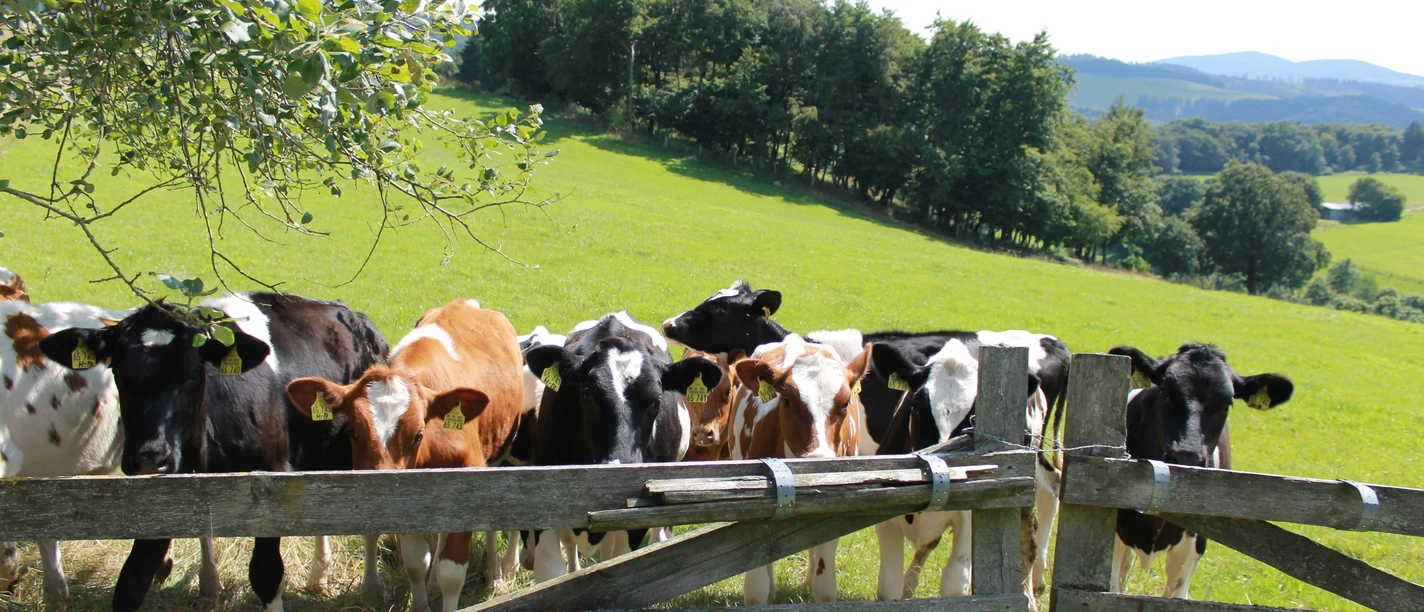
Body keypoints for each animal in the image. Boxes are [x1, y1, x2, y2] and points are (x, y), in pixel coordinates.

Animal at [39, 293, 388, 612]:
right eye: (119, 373)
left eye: (193, 373)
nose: (151, 457)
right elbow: (132, 581)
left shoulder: (270, 480)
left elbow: (266, 574)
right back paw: (319, 577)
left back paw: (370, 590)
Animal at [287, 299, 523, 612]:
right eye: (354, 433)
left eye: (418, 435)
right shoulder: (408, 496)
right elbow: (415, 561)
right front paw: (421, 601)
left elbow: (451, 573)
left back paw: (495, 575)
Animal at [871, 338, 1060, 604]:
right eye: (916, 406)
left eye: (974, 418)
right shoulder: (886, 517)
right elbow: (889, 587)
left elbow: (954, 584)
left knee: (1030, 536)